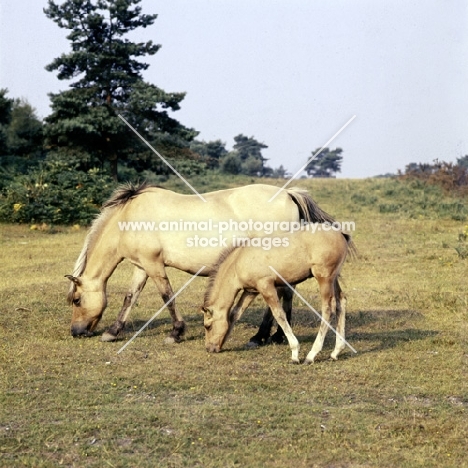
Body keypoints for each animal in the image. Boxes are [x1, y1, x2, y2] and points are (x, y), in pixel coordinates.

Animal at [66, 184, 336, 344]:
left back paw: (261, 337)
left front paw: (176, 332)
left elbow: (167, 297)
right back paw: (277, 336)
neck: (129, 217)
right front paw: (113, 331)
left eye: (77, 300)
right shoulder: (142, 266)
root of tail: (288, 194)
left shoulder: (154, 265)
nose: (75, 332)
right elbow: (130, 297)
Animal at [201, 229, 352, 364]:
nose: (210, 348)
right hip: (333, 279)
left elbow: (279, 314)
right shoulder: (250, 291)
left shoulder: (266, 286)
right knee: (341, 302)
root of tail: (341, 235)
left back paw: (311, 355)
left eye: (207, 326)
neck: (239, 260)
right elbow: (235, 314)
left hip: (324, 279)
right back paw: (335, 352)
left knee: (328, 310)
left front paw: (295, 353)